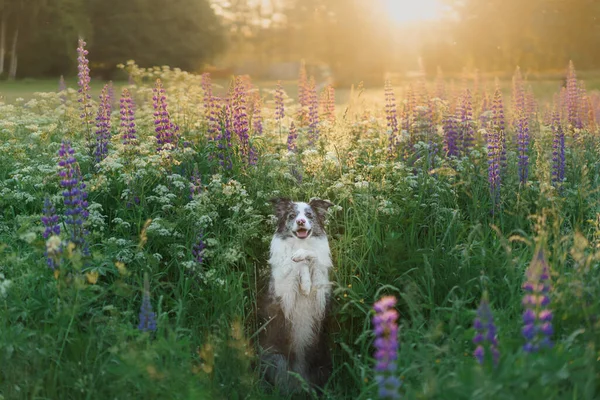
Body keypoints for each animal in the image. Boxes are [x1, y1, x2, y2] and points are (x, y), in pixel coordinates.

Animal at [256, 197, 336, 394]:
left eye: (309, 215)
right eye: (292, 215)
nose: (300, 221)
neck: (300, 243)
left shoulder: (319, 294)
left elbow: (311, 257)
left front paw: (302, 261)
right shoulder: (284, 294)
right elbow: (294, 265)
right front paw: (301, 270)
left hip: (323, 362)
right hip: (276, 359)